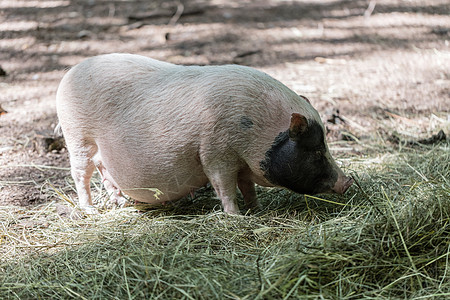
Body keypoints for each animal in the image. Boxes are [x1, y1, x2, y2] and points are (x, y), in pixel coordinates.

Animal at [55, 52, 352, 214]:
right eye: (316, 150)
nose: (347, 182)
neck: (258, 129)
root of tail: (69, 75)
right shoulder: (215, 153)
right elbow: (224, 187)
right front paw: (236, 217)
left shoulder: (242, 163)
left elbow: (247, 186)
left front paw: (257, 208)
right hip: (77, 137)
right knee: (81, 173)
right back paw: (90, 209)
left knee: (103, 169)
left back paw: (121, 203)